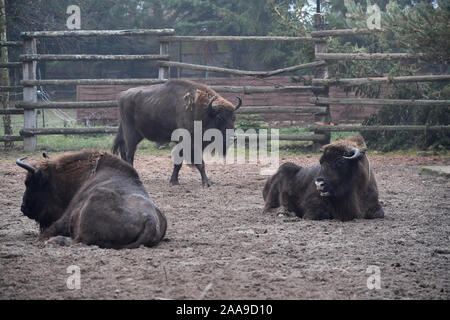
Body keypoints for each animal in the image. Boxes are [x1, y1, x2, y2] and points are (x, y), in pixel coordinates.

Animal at [15, 151, 168, 249]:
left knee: (78, 241)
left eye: (29, 182)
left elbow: (46, 233)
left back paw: (54, 241)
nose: (23, 207)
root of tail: (150, 220)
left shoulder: (66, 217)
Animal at [111, 78, 243, 186]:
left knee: (124, 151)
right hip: (131, 134)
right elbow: (198, 163)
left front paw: (174, 181)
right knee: (129, 154)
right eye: (219, 118)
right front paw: (206, 183)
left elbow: (179, 162)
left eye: (233, 117)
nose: (233, 138)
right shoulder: (188, 142)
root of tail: (122, 95)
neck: (205, 111)